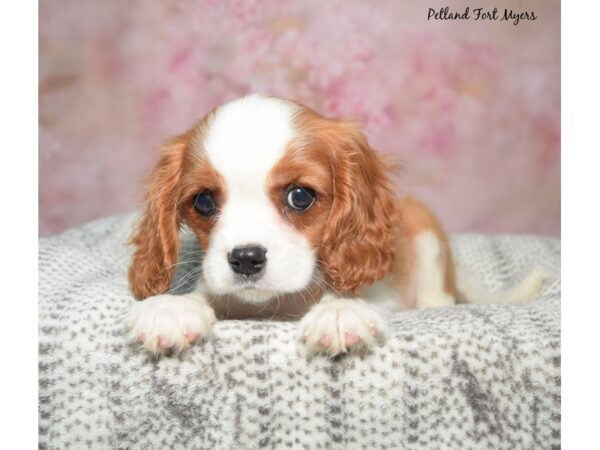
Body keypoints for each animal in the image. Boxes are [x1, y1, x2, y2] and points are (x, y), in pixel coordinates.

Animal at [126, 94, 544, 356]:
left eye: (300, 196)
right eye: (204, 202)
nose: (245, 259)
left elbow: (355, 297)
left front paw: (341, 312)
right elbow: (204, 293)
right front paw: (173, 308)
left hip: (425, 234)